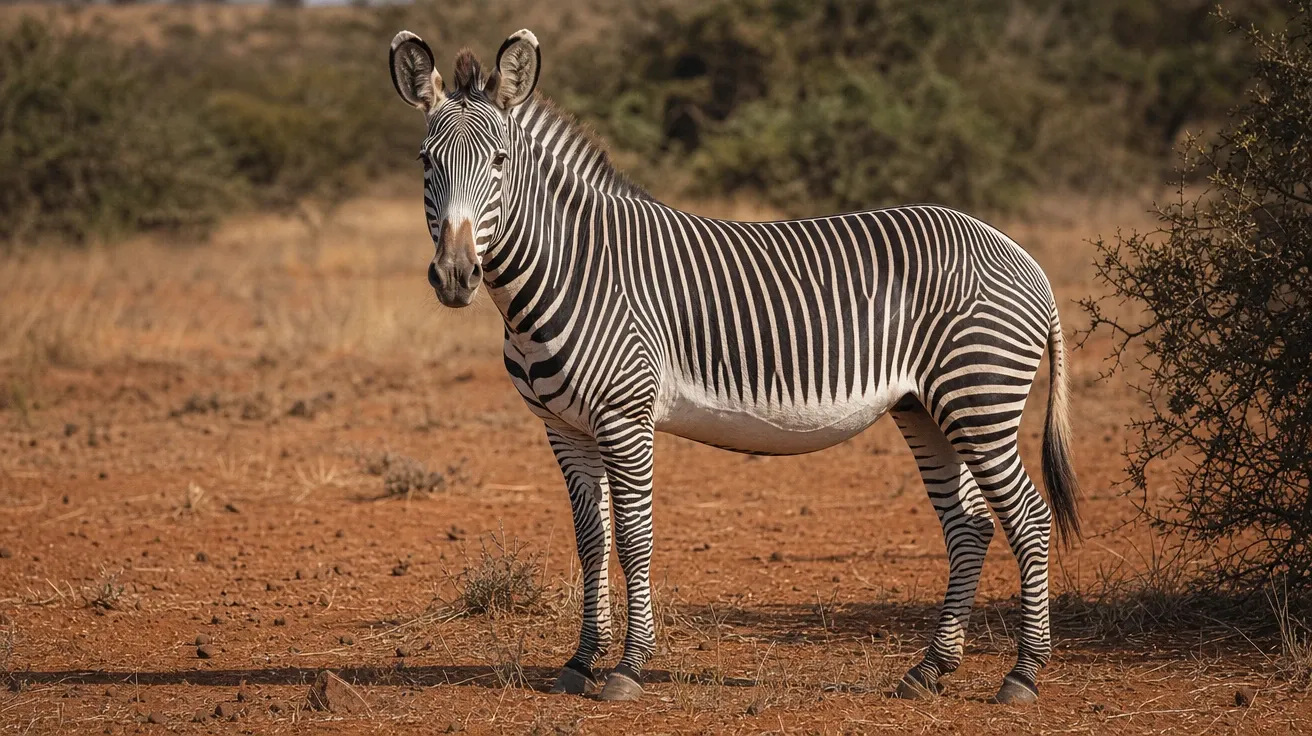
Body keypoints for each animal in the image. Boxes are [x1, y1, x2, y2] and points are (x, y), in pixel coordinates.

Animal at [388, 28, 1081, 705]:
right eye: (425, 162)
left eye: (500, 162)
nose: (455, 276)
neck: (570, 271)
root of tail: (1020, 256)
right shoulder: (564, 428)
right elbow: (591, 541)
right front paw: (581, 661)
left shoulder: (624, 417)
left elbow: (633, 538)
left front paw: (629, 667)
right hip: (926, 408)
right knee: (969, 524)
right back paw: (930, 669)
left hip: (980, 397)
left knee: (1028, 517)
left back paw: (1023, 674)